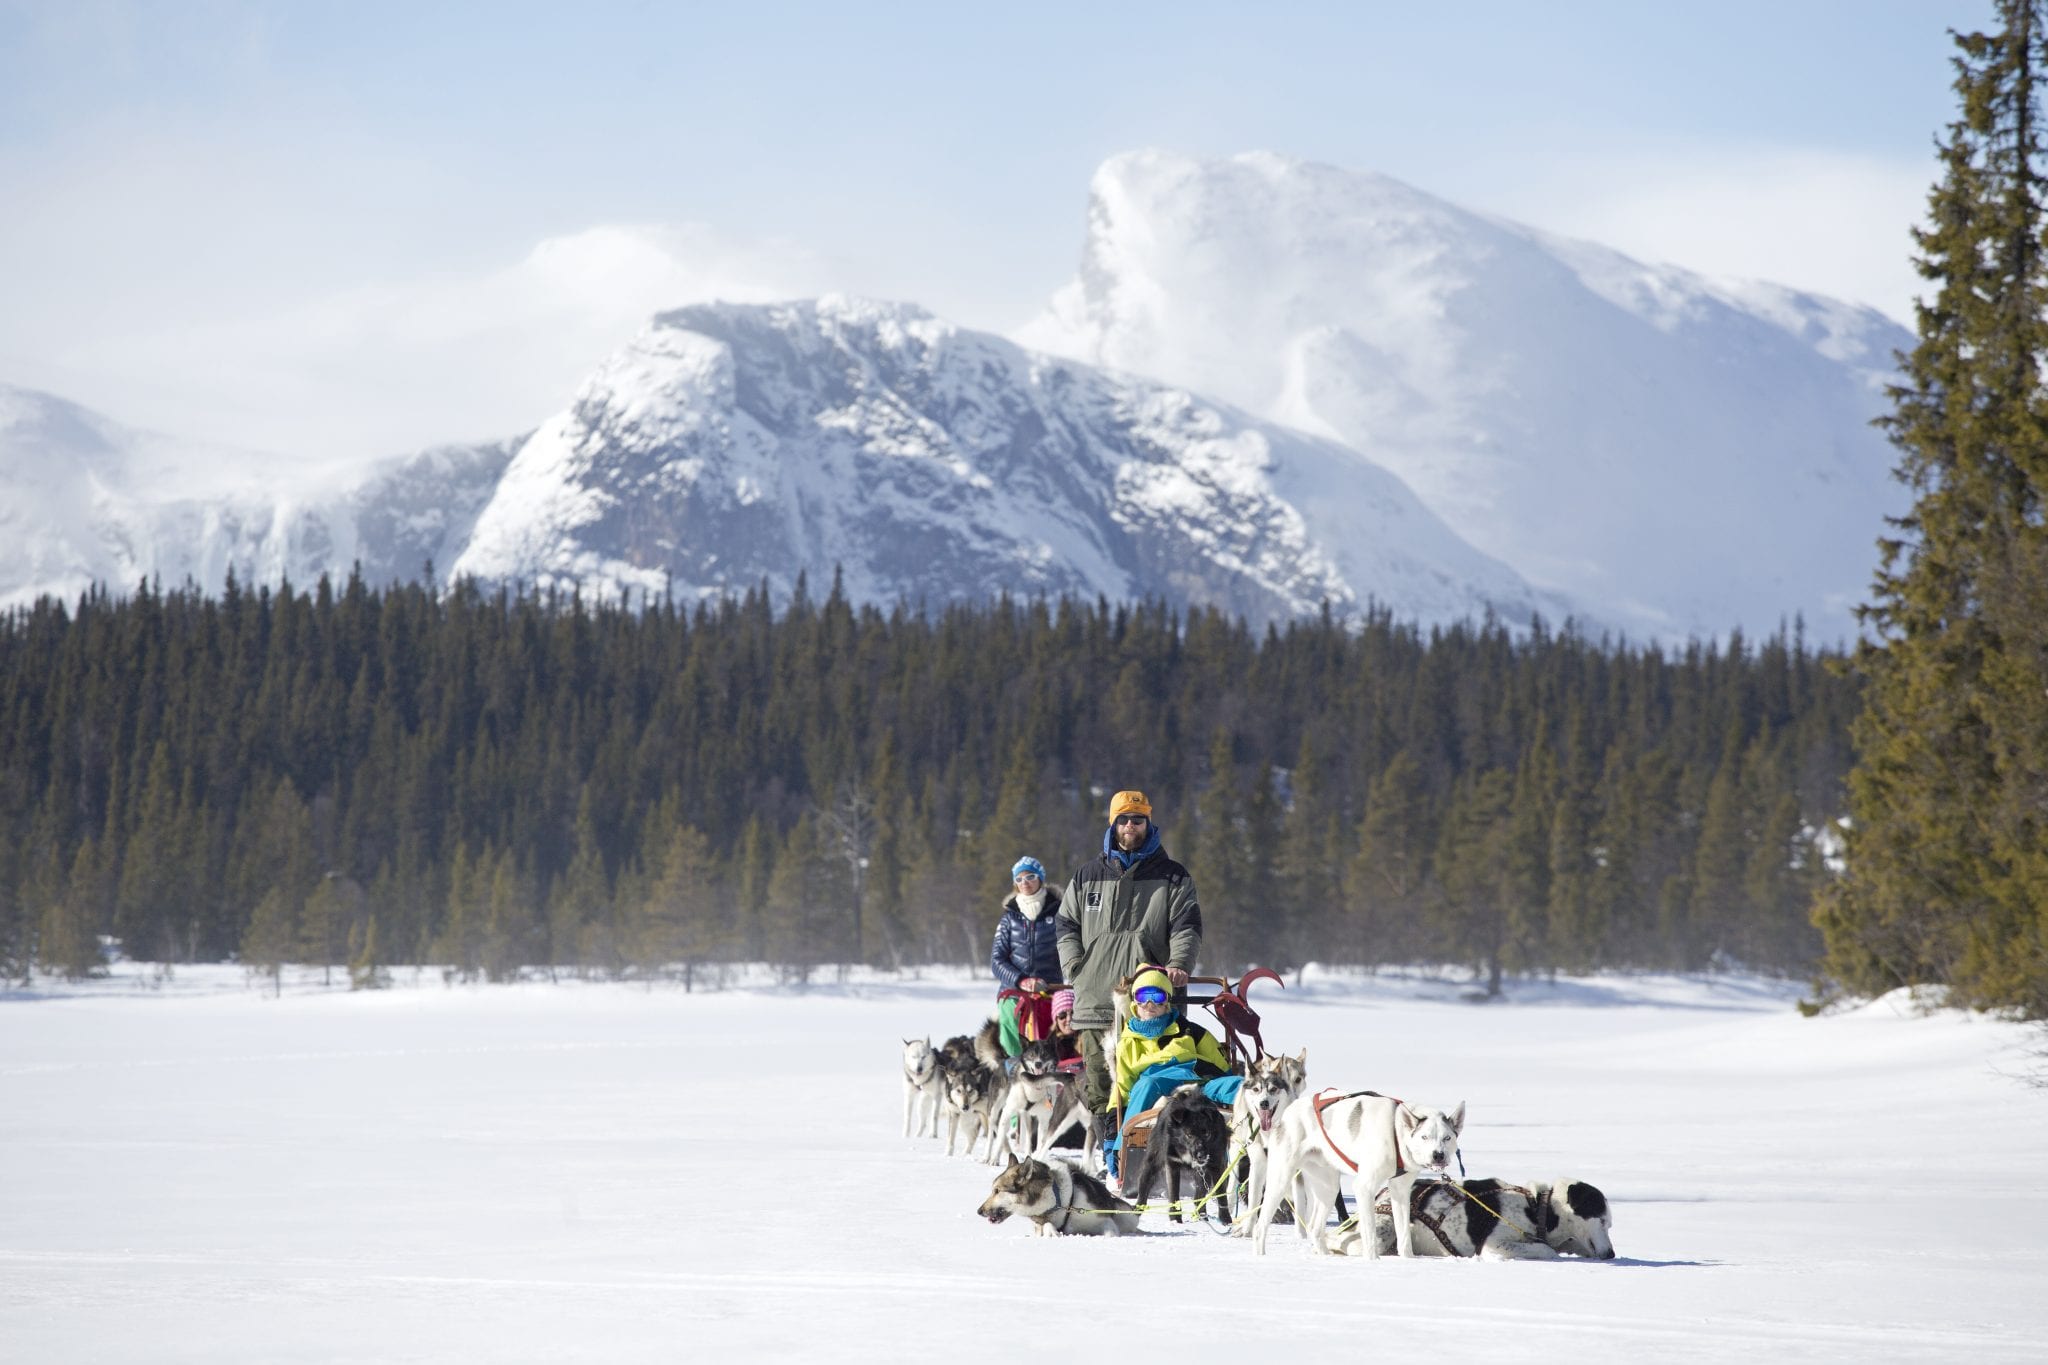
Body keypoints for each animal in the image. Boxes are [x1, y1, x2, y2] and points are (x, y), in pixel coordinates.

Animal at [978, 1154, 1146, 1236]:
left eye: (997, 1191)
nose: (979, 1211)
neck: (1058, 1202)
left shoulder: (1103, 1219)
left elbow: (1110, 1233)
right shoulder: (1040, 1222)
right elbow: (1047, 1227)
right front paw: (1052, 1232)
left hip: (1126, 1215)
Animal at [1138, 1088, 1228, 1227]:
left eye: (1206, 1133)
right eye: (1189, 1134)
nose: (1201, 1155)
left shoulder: (1216, 1164)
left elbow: (1222, 1195)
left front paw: (1227, 1222)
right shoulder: (1172, 1164)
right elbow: (1174, 1195)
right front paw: (1175, 1220)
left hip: (1204, 1174)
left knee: (1199, 1198)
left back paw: (1202, 1217)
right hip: (1152, 1163)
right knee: (1144, 1186)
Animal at [1228, 1047, 1310, 1236]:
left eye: (1298, 1079)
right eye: (1256, 1089)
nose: (1264, 1103)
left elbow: (1299, 1202)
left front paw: (1301, 1235)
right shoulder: (1258, 1163)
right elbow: (1254, 1199)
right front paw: (1247, 1230)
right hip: (1237, 1145)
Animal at [1253, 1088, 1466, 1260]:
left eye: (1447, 1138)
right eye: (1424, 1137)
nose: (1438, 1155)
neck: (1395, 1132)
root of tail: (1288, 1111)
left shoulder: (1401, 1190)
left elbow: (1404, 1234)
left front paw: (1408, 1260)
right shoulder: (1364, 1188)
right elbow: (1369, 1233)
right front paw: (1373, 1261)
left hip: (1329, 1187)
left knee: (1315, 1228)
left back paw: (1325, 1257)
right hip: (1280, 1179)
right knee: (1260, 1225)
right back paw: (1260, 1256)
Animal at [1343, 1178, 1613, 1260]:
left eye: (1609, 1224)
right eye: (1601, 1220)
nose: (1611, 1254)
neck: (1536, 1207)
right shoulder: (1494, 1245)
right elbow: (1547, 1249)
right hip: (1385, 1228)